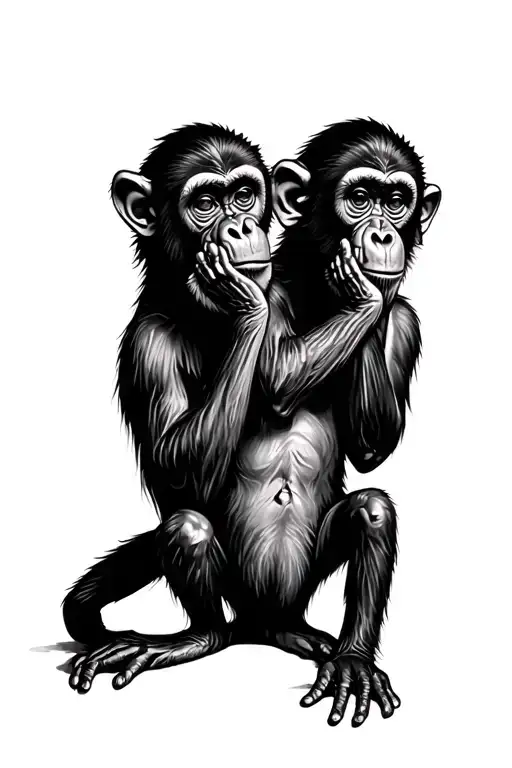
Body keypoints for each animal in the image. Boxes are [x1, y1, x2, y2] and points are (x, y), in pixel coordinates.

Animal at [63, 120, 440, 728]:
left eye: (396, 201)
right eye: (360, 198)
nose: (383, 234)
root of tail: (260, 622)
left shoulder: (410, 323)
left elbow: (371, 449)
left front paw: (371, 298)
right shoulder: (157, 340)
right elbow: (248, 401)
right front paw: (344, 297)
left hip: (302, 586)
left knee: (371, 509)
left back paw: (347, 657)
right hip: (235, 595)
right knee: (187, 530)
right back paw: (197, 638)